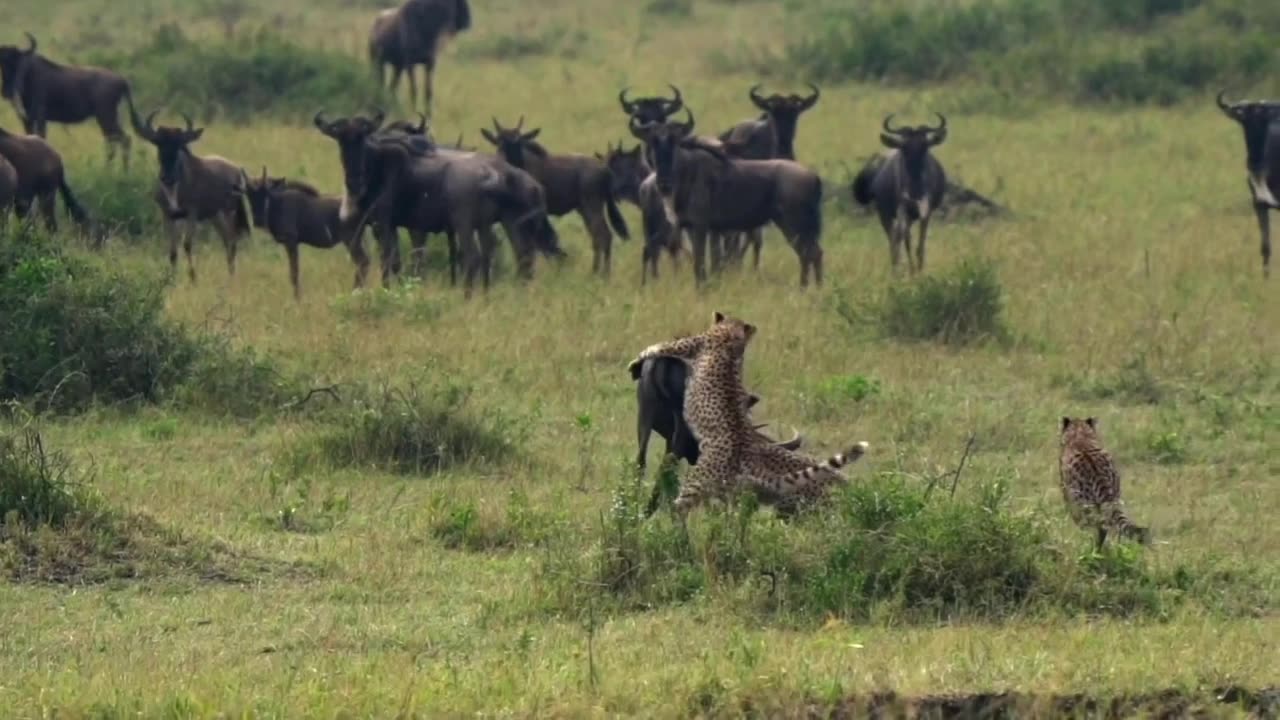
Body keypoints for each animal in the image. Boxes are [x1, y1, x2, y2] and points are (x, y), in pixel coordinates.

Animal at [1059, 412, 1152, 545]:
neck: (1080, 433)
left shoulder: (1069, 498)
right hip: (1114, 497)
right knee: (1110, 525)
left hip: (1085, 505)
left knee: (1098, 526)